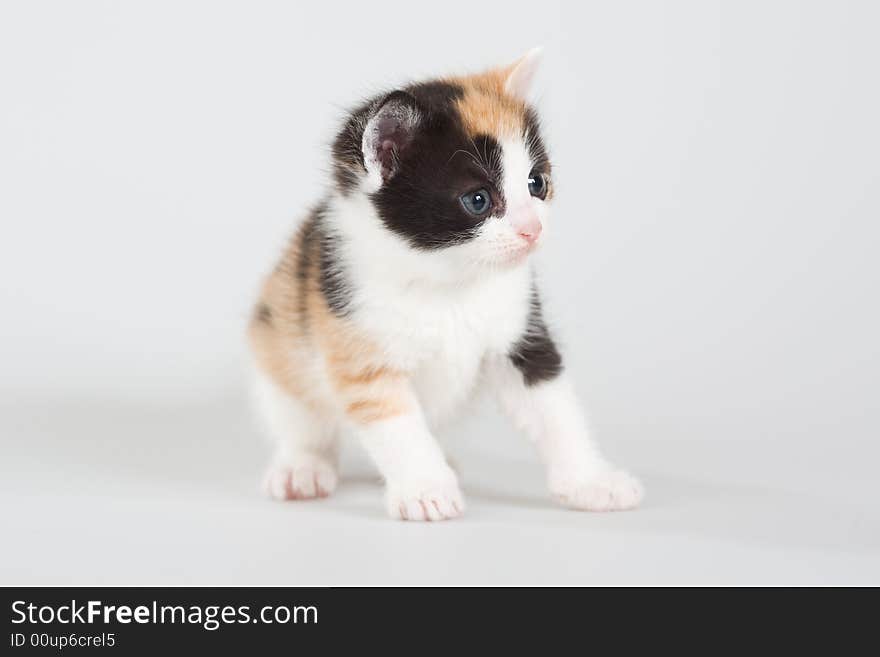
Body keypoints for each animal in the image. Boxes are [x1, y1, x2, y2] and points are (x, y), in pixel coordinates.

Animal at [251, 51, 644, 520]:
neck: (449, 277)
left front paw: (591, 482)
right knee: (301, 417)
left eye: (537, 183)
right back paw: (303, 467)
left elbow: (555, 409)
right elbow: (395, 423)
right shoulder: (356, 341)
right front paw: (425, 490)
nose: (532, 230)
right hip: (278, 335)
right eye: (477, 200)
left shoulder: (522, 337)